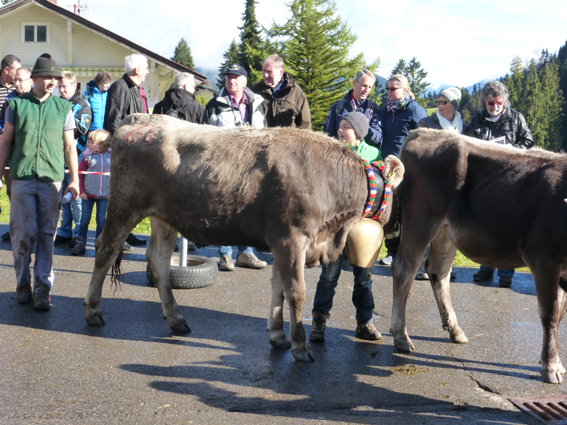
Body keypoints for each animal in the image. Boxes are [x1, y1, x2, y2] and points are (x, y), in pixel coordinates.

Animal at [84, 112, 404, 362]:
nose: (396, 230)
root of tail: (139, 119)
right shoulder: (292, 239)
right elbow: (296, 292)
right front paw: (300, 346)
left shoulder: (281, 242)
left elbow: (278, 288)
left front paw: (277, 335)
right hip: (124, 205)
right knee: (106, 248)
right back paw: (93, 311)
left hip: (164, 218)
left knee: (159, 260)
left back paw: (177, 319)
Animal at [392, 127, 567, 382]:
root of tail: (423, 132)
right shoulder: (544, 259)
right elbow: (551, 314)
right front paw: (551, 366)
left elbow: (560, 313)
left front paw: (557, 364)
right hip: (420, 219)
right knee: (404, 271)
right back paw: (401, 336)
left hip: (446, 230)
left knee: (438, 272)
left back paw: (455, 330)